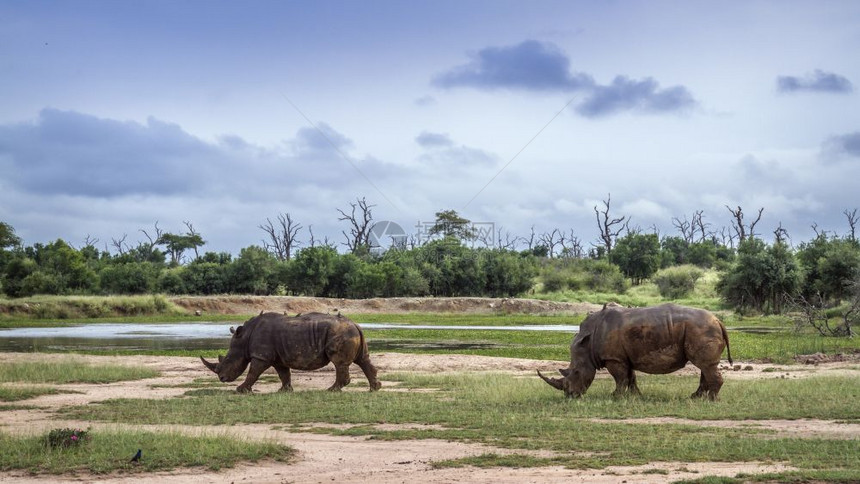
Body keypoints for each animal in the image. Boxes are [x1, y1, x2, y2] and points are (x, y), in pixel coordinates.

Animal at [202, 310, 380, 394]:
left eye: (228, 360)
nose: (222, 379)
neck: (244, 338)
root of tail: (356, 324)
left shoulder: (261, 356)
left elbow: (253, 372)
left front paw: (241, 390)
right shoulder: (277, 358)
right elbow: (283, 373)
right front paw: (284, 390)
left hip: (341, 333)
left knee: (339, 363)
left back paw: (331, 390)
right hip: (350, 332)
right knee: (362, 359)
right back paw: (374, 388)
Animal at [536, 302, 732, 400]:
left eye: (576, 372)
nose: (570, 395)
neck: (588, 343)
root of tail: (719, 321)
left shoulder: (614, 358)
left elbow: (620, 378)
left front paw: (614, 397)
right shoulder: (624, 357)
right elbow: (631, 377)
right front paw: (636, 396)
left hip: (701, 329)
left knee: (705, 365)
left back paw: (710, 400)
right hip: (701, 329)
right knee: (705, 366)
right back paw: (695, 398)